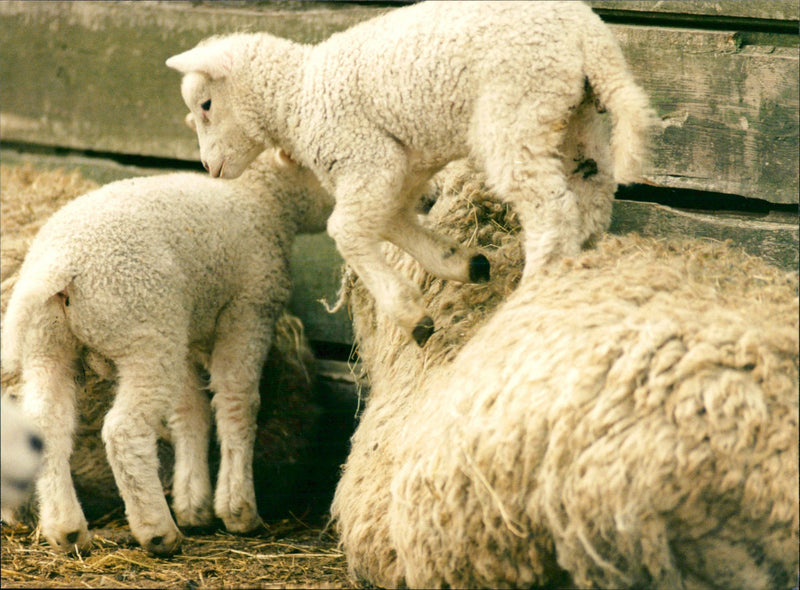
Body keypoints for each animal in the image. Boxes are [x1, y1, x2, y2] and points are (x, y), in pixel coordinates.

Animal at [0, 148, 333, 555]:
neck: (260, 199)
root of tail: (59, 265)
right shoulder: (249, 311)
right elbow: (237, 402)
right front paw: (238, 510)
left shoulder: (187, 334)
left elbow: (190, 412)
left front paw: (195, 506)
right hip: (147, 334)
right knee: (124, 431)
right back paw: (157, 530)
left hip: (49, 345)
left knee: (48, 425)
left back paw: (67, 530)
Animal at [165, 0, 656, 346]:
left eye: (206, 105)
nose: (208, 167)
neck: (296, 95)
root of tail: (586, 32)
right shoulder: (403, 168)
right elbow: (390, 222)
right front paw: (460, 262)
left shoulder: (368, 157)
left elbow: (346, 229)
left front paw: (409, 315)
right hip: (572, 115)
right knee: (592, 189)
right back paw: (581, 261)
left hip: (516, 107)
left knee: (550, 209)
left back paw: (535, 286)